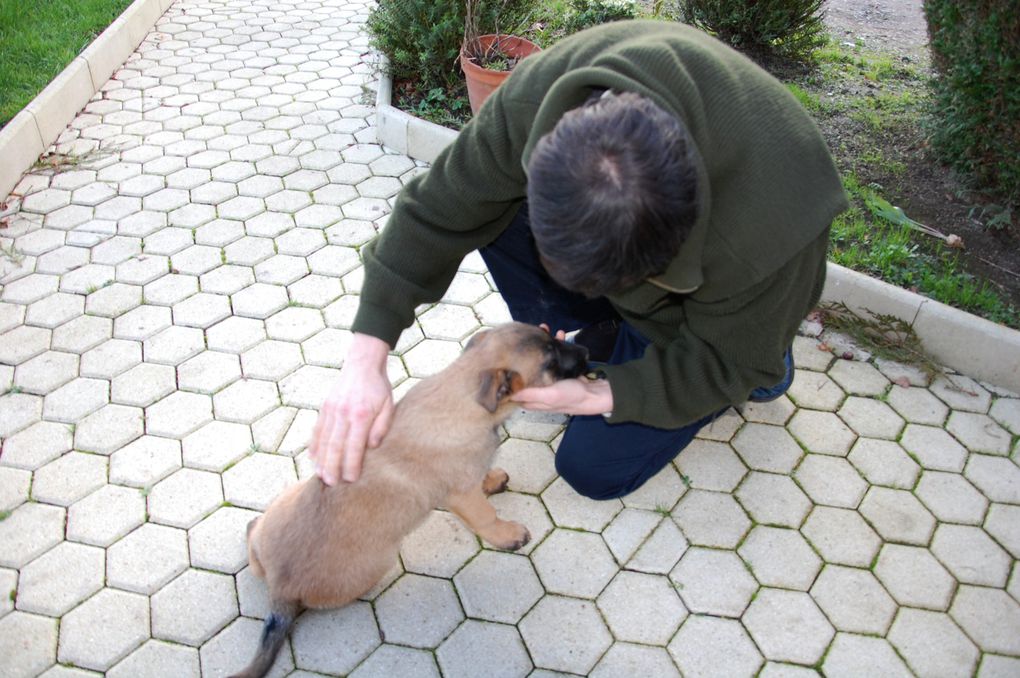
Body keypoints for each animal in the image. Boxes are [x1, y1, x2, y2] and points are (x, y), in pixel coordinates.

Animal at [227, 324, 587, 676]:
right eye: (551, 359)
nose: (585, 350)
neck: (461, 392)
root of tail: (280, 590)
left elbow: (482, 475)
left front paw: (492, 479)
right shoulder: (462, 494)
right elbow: (486, 515)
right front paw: (508, 534)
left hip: (286, 502)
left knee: (254, 533)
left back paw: (253, 525)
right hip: (377, 561)